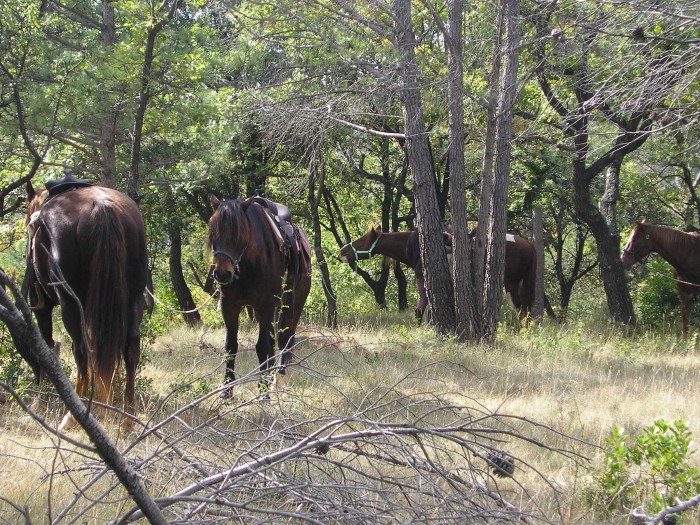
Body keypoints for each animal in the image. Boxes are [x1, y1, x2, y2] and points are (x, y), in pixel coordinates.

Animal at [25, 180, 148, 430]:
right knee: (131, 348)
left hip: (70, 304)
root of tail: (102, 208)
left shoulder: (42, 306)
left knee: (80, 349)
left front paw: (39, 400)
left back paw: (74, 415)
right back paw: (127, 420)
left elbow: (45, 344)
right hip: (134, 296)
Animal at [205, 194, 308, 390]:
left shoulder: (266, 306)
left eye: (239, 233)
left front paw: (263, 390)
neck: (248, 265)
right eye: (213, 231)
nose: (222, 273)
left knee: (285, 340)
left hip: (293, 305)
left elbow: (262, 347)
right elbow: (231, 347)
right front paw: (226, 392)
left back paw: (278, 375)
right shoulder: (230, 306)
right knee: (274, 342)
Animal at [340, 227, 536, 322]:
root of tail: (528, 243)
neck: (415, 246)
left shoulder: (422, 279)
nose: (342, 251)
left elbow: (420, 311)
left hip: (511, 283)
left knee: (521, 309)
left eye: (362, 240)